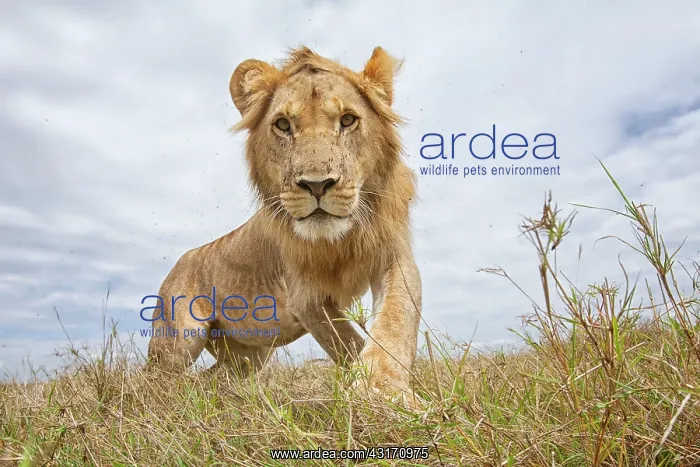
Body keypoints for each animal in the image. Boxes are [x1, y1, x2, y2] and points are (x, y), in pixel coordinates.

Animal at [146, 46, 422, 403]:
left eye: (347, 119)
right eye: (283, 124)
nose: (317, 185)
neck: (340, 239)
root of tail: (180, 262)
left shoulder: (392, 256)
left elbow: (397, 318)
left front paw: (384, 389)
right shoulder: (306, 298)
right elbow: (349, 343)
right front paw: (376, 394)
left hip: (250, 353)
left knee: (217, 376)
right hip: (178, 339)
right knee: (154, 378)